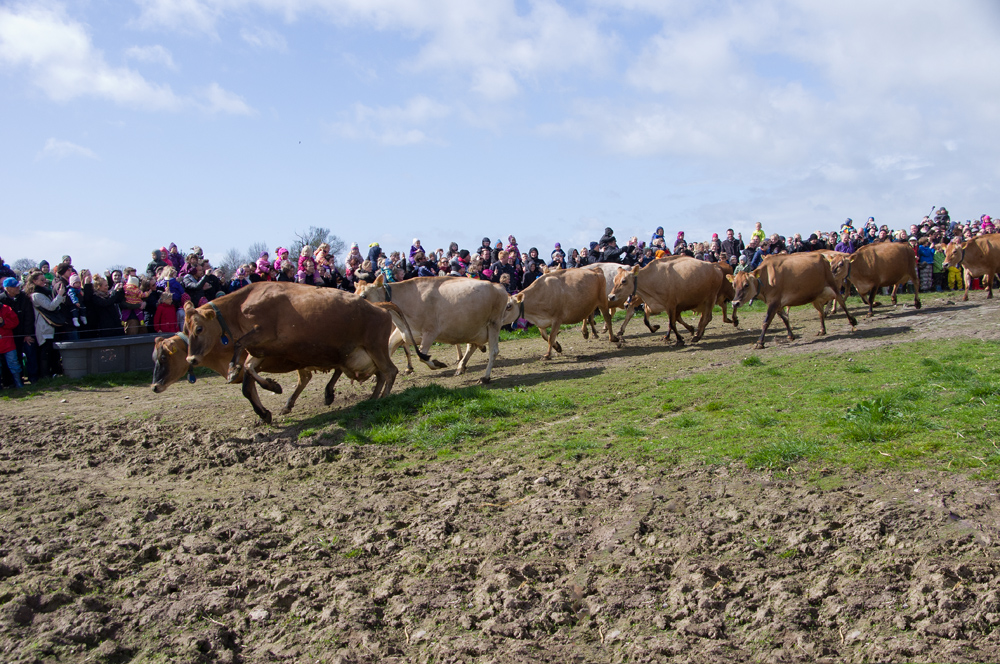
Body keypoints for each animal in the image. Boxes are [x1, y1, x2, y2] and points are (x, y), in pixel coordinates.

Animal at [728, 252, 860, 350]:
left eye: (746, 285)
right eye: (734, 285)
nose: (735, 303)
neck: (766, 278)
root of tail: (823, 257)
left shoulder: (774, 302)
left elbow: (766, 322)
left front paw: (760, 342)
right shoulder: (778, 304)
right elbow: (785, 318)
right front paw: (791, 336)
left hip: (832, 285)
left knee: (841, 300)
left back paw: (852, 321)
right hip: (815, 296)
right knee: (820, 312)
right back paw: (822, 330)